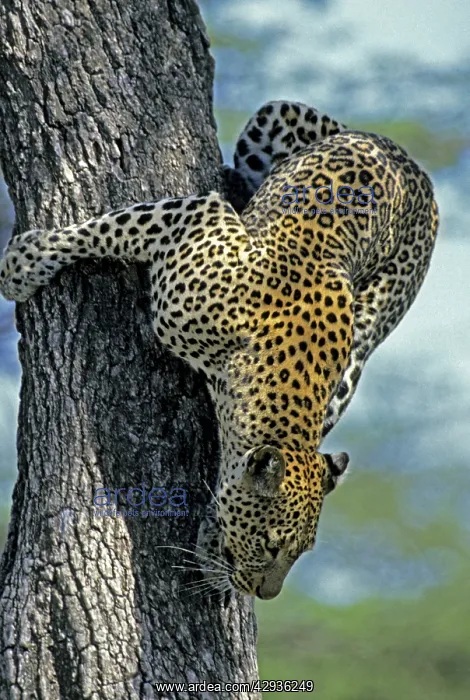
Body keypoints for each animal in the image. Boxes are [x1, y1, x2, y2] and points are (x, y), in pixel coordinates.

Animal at [0, 100, 438, 599]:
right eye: (270, 545)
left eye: (301, 552)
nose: (267, 594)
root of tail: (419, 173)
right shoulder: (197, 214)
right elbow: (106, 228)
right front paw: (24, 264)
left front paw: (212, 545)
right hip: (275, 116)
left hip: (370, 328)